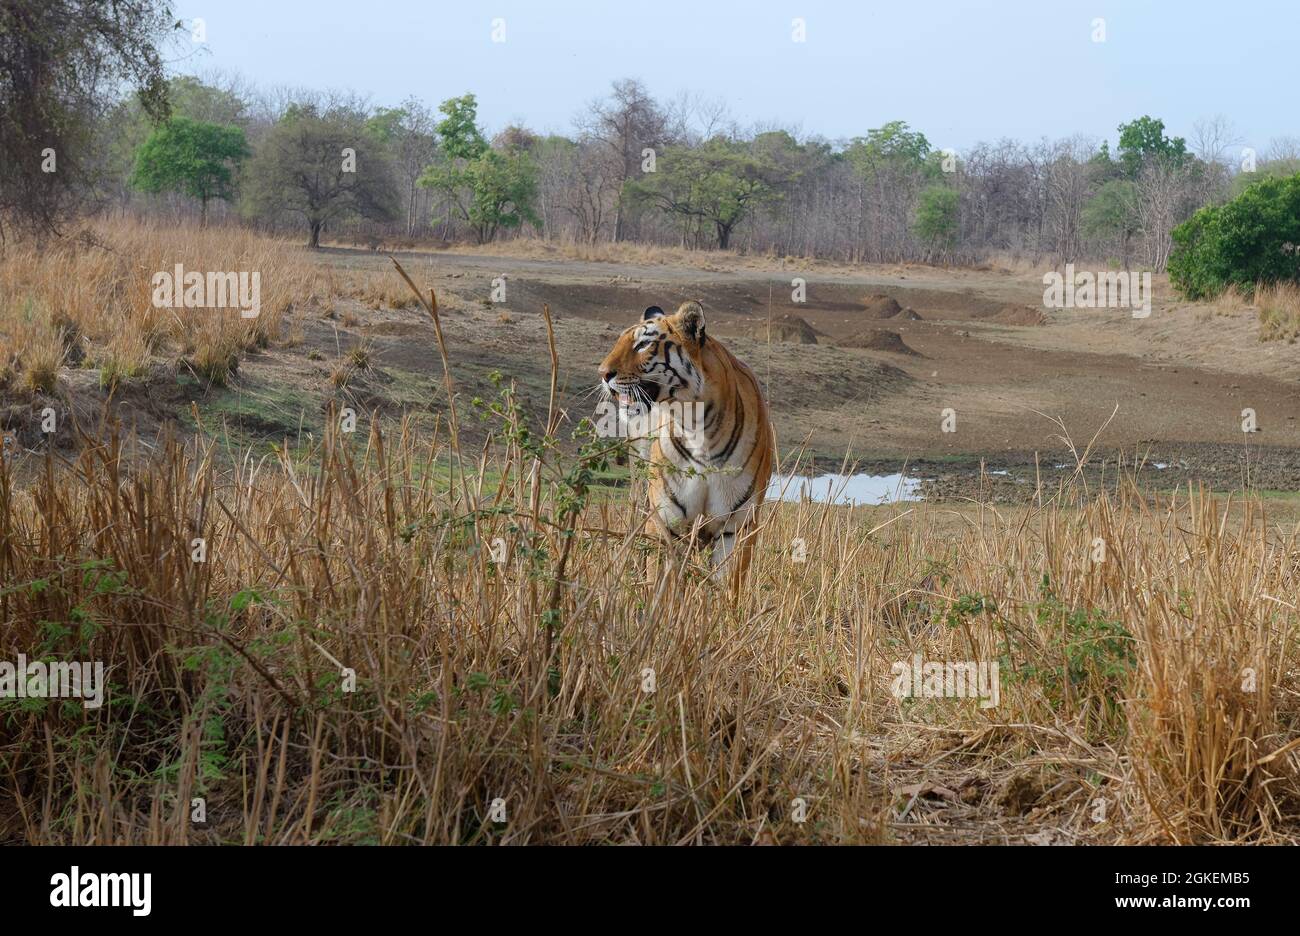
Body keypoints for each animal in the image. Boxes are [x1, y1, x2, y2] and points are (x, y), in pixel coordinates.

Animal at [595, 301, 769, 592]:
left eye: (643, 344)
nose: (603, 374)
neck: (699, 430)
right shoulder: (666, 522)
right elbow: (661, 586)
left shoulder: (736, 526)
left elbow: (727, 589)